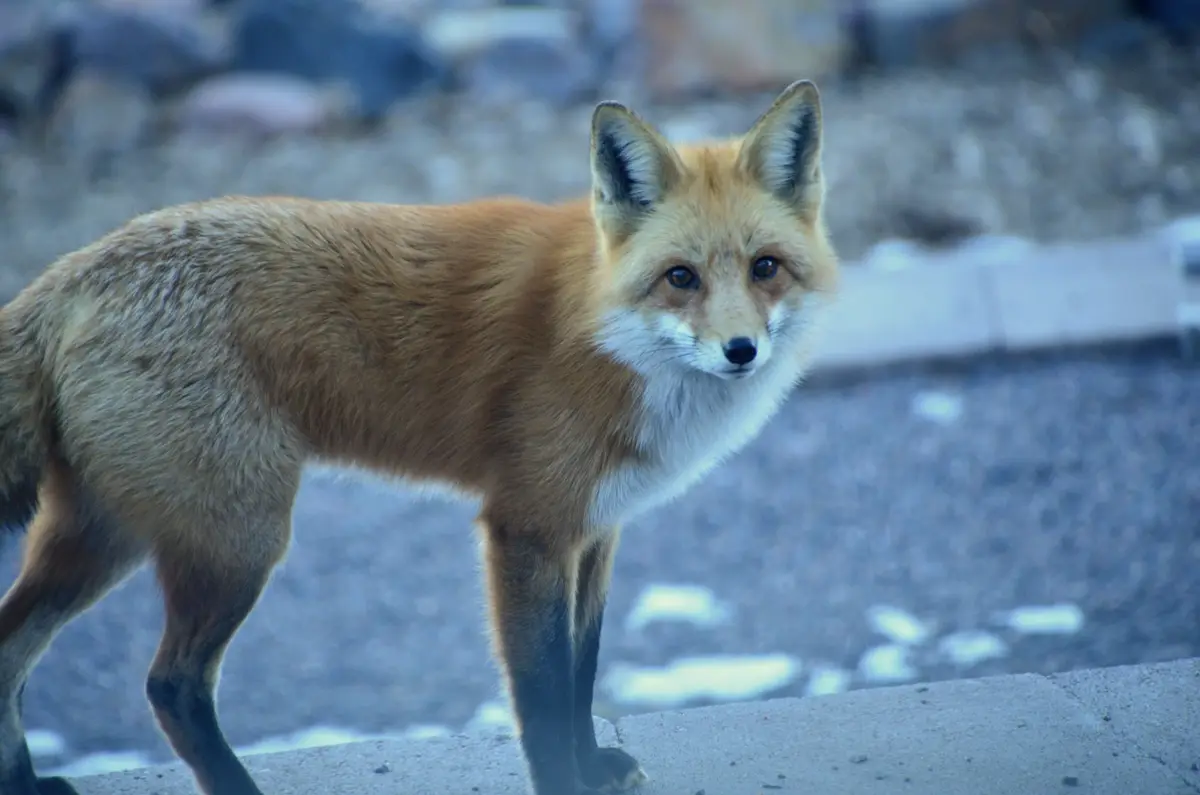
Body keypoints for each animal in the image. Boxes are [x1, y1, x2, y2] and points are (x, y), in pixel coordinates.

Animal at [0, 79, 838, 795]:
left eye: (766, 268)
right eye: (681, 277)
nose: (740, 351)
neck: (605, 333)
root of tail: (73, 270)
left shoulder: (596, 530)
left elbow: (582, 671)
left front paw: (593, 763)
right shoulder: (526, 528)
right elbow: (542, 693)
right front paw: (564, 780)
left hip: (109, 535)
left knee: (11, 648)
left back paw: (26, 782)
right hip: (237, 541)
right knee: (171, 684)